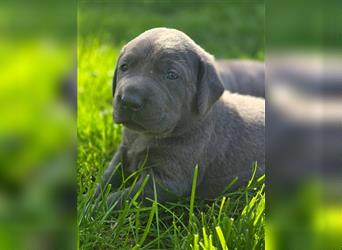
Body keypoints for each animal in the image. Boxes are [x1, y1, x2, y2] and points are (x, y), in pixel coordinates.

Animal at [95, 28, 266, 206]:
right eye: (124, 67)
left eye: (171, 75)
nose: (129, 100)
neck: (144, 136)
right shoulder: (124, 151)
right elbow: (106, 178)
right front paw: (91, 198)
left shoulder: (168, 181)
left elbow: (123, 198)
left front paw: (97, 207)